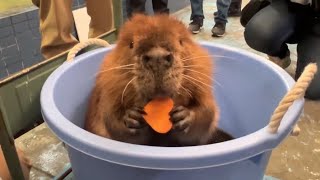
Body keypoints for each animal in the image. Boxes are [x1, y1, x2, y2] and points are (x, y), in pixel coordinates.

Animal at [84, 14, 231, 146]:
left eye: (180, 41)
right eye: (131, 44)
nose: (157, 58)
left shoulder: (201, 84)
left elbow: (208, 113)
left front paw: (184, 116)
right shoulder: (108, 94)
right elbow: (111, 121)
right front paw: (132, 118)